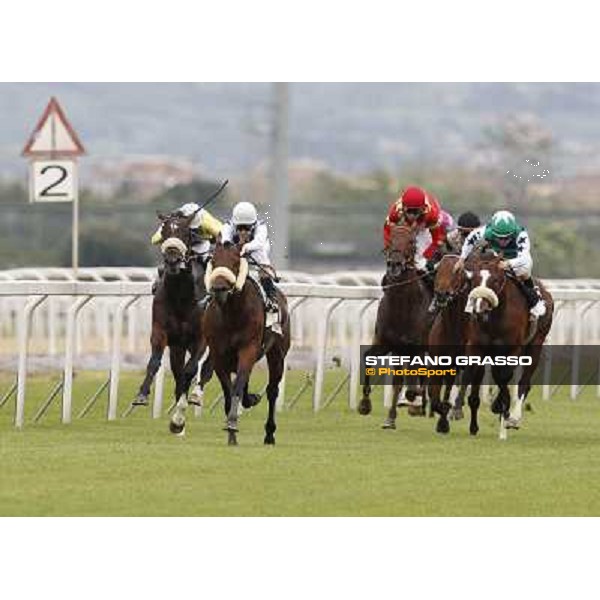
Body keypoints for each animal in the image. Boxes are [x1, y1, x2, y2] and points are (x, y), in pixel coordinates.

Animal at [132, 211, 212, 426]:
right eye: (164, 232)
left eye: (185, 233)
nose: (173, 260)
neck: (181, 296)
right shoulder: (162, 332)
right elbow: (155, 362)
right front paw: (142, 394)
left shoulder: (200, 338)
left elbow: (190, 369)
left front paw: (184, 403)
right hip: (178, 347)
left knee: (205, 369)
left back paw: (195, 396)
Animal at [358, 224, 434, 426]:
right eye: (390, 239)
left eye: (411, 241)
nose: (395, 264)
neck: (401, 305)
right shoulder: (386, 343)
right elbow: (369, 359)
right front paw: (366, 405)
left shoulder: (414, 347)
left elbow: (412, 383)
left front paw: (414, 401)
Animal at [460, 250, 552, 440]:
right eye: (474, 280)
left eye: (495, 280)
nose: (479, 308)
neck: (495, 318)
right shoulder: (477, 347)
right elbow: (481, 375)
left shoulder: (512, 349)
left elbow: (504, 377)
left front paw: (505, 413)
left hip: (536, 345)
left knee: (524, 382)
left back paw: (514, 418)